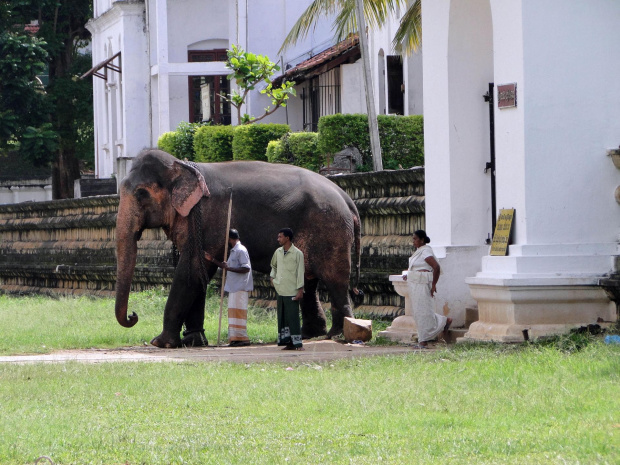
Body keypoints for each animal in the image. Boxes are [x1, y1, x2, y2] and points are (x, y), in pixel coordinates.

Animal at [114, 147, 360, 346]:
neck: (183, 166)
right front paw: (193, 341)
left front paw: (160, 343)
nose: (133, 315)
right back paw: (313, 335)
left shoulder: (210, 219)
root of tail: (347, 198)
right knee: (308, 282)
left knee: (335, 280)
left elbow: (191, 270)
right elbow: (198, 273)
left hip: (330, 229)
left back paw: (337, 334)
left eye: (141, 193)